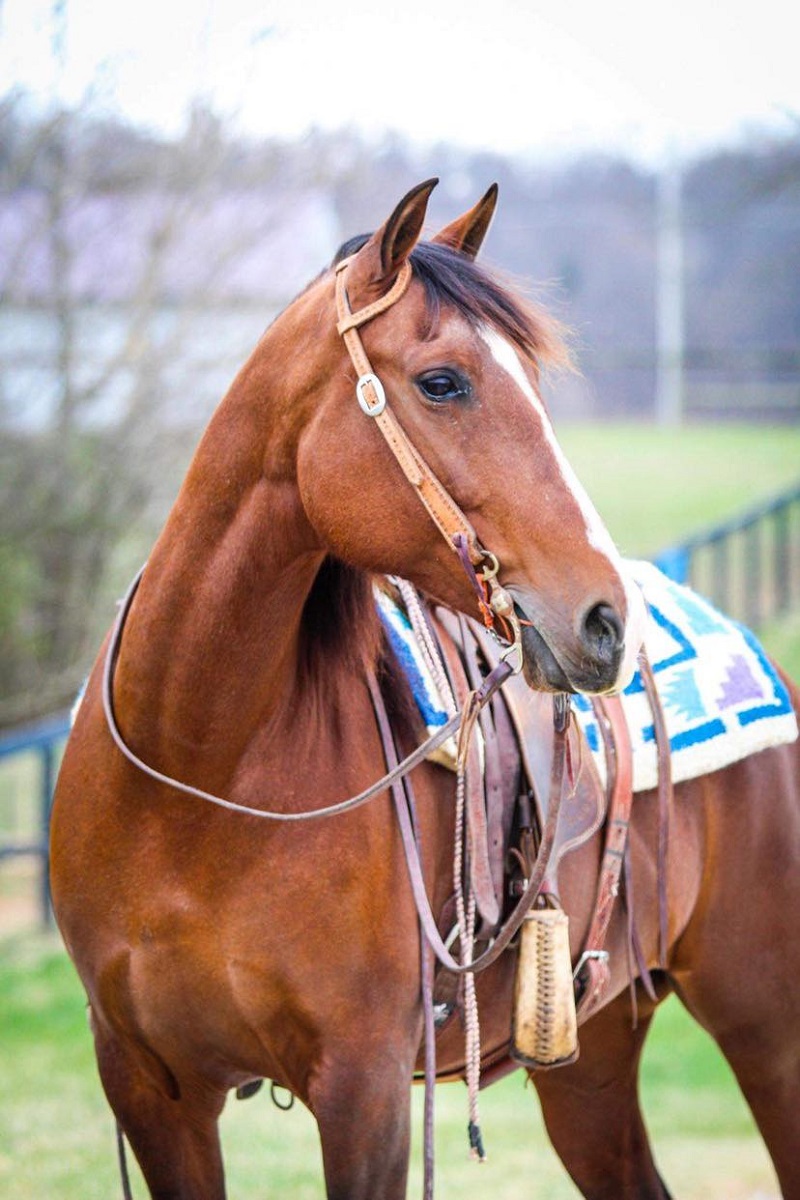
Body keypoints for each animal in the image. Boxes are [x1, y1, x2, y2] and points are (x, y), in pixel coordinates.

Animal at [50, 179, 800, 1200]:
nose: (606, 619)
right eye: (444, 382)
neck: (195, 770)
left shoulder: (362, 1093)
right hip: (591, 1055)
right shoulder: (149, 1088)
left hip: (767, 1028)